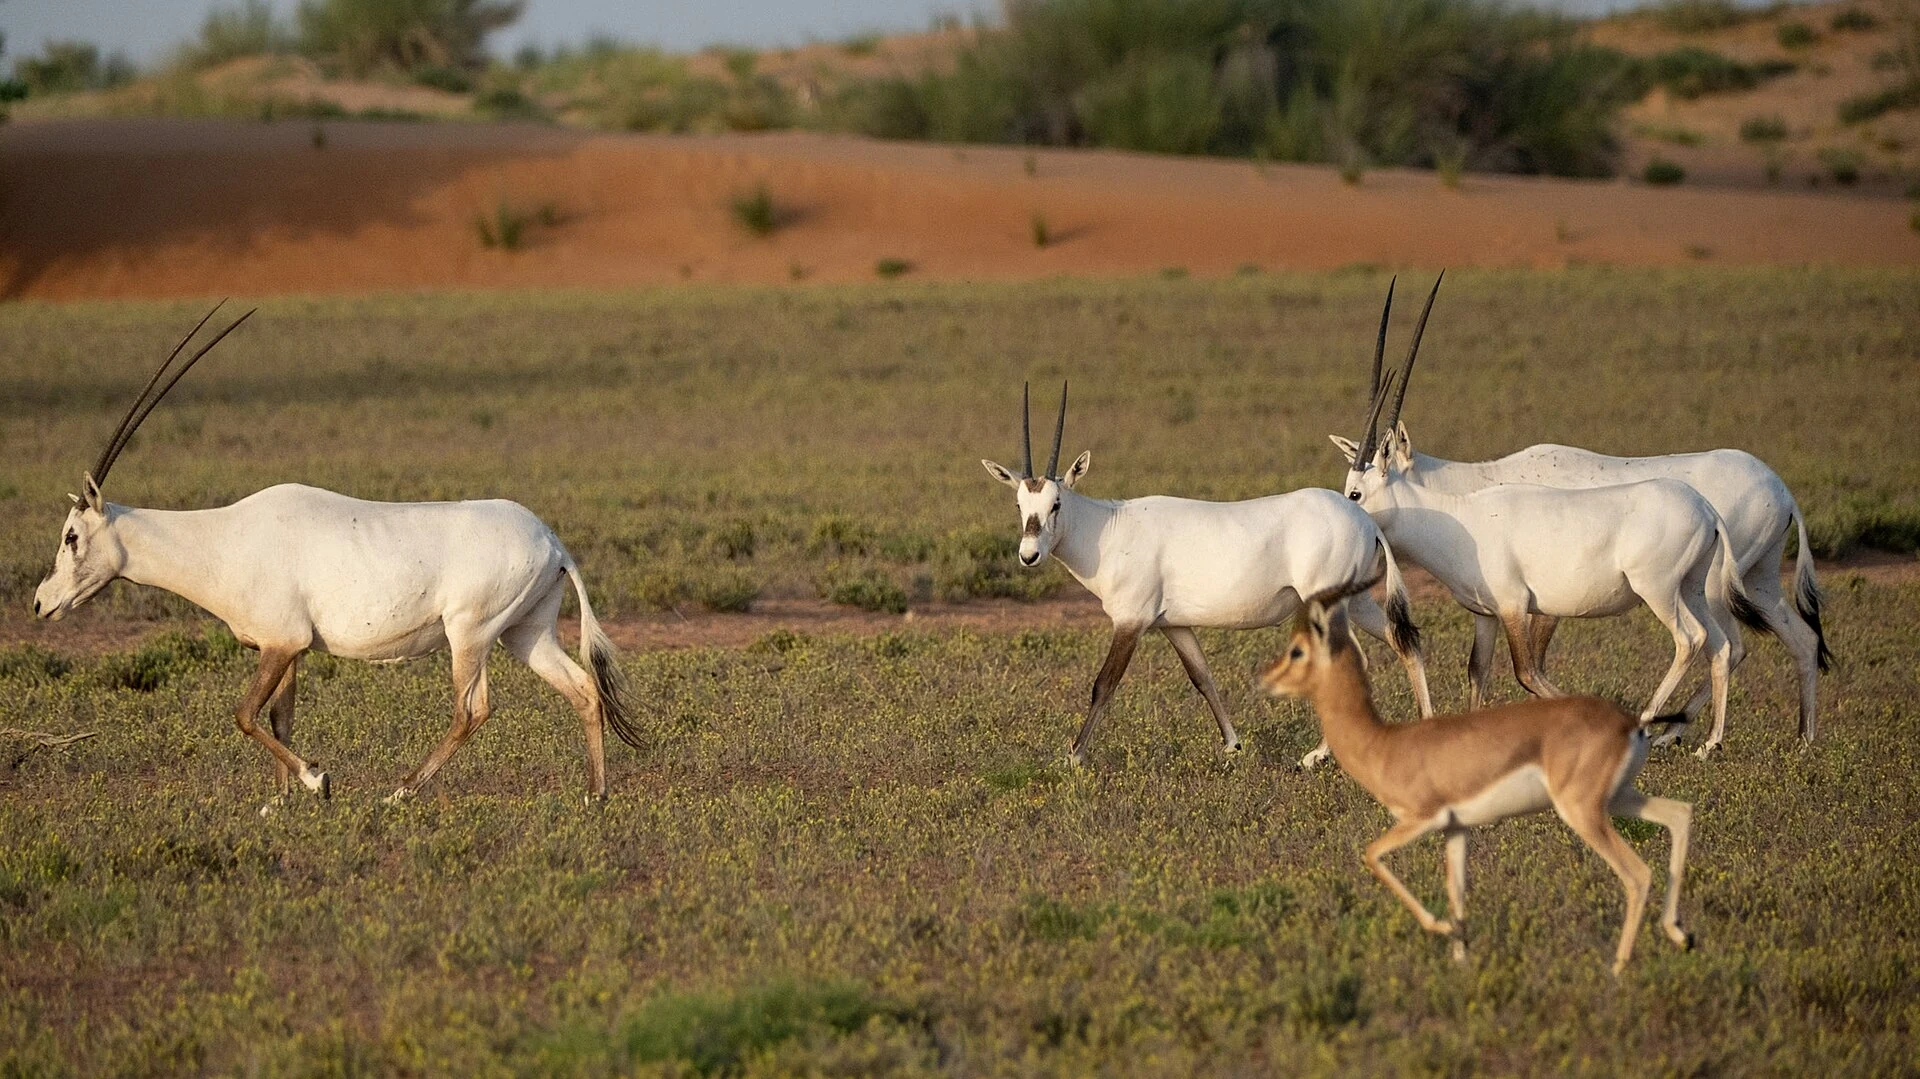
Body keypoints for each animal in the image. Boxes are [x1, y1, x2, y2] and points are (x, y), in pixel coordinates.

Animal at [31, 306, 639, 807]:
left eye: (71, 536)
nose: (41, 603)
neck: (224, 539)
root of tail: (553, 541)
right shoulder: (287, 648)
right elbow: (279, 718)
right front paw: (278, 805)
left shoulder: (281, 642)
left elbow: (245, 715)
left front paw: (316, 782)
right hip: (524, 633)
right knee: (583, 690)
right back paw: (595, 795)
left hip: (470, 633)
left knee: (473, 709)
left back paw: (400, 792)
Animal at [981, 384, 1433, 768]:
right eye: (1020, 504)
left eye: (1056, 503)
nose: (1029, 555)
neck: (1108, 527)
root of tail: (1365, 521)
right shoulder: (1174, 625)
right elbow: (1202, 677)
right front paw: (1232, 745)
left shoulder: (1130, 622)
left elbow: (1104, 683)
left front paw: (1074, 757)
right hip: (1356, 602)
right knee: (1402, 641)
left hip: (1327, 603)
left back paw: (1318, 755)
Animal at [1259, 600, 1694, 974]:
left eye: (1297, 651)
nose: (1265, 680)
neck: (1385, 744)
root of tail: (1631, 723)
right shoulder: (1456, 828)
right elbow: (1456, 891)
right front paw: (1460, 960)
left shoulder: (1421, 819)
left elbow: (1372, 855)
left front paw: (1441, 929)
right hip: (1619, 799)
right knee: (1679, 814)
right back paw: (1680, 935)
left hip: (1583, 812)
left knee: (1637, 874)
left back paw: (1618, 969)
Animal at [1335, 275, 1830, 751]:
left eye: (1355, 494)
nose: (1346, 525)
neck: (1461, 503)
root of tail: (1781, 491)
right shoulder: (1487, 613)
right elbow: (1478, 672)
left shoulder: (1527, 607)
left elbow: (1528, 672)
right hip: (1745, 582)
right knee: (1773, 642)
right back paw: (1774, 738)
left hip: (1677, 589)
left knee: (1701, 641)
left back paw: (1661, 728)